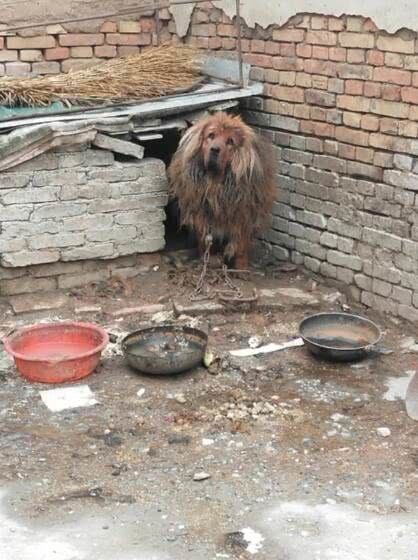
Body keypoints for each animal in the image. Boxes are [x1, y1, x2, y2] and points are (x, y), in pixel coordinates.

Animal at [168, 112, 276, 269]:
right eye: (211, 136)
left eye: (230, 141)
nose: (215, 149)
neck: (216, 184)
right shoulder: (202, 215)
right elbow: (205, 241)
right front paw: (209, 260)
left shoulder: (243, 216)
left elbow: (240, 246)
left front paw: (241, 268)